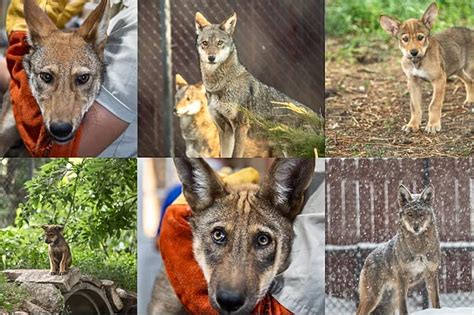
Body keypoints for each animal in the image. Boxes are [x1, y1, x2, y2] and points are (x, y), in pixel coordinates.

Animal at [194, 12, 320, 158]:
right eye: (205, 43)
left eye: (219, 43)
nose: (211, 57)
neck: (218, 87)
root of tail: (319, 119)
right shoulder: (225, 129)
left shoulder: (241, 126)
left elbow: (236, 155)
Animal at [358, 185, 442, 315]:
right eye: (410, 214)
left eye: (421, 214)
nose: (416, 227)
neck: (419, 247)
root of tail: (368, 258)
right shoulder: (403, 276)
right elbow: (403, 306)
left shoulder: (431, 274)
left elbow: (436, 301)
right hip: (372, 297)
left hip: (389, 302)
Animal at [382, 2, 474, 133]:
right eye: (405, 39)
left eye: (420, 37)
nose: (413, 52)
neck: (417, 62)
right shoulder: (413, 82)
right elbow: (415, 106)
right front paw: (413, 124)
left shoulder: (439, 80)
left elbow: (434, 104)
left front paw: (433, 125)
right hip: (458, 69)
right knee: (469, 81)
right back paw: (470, 100)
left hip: (468, 68)